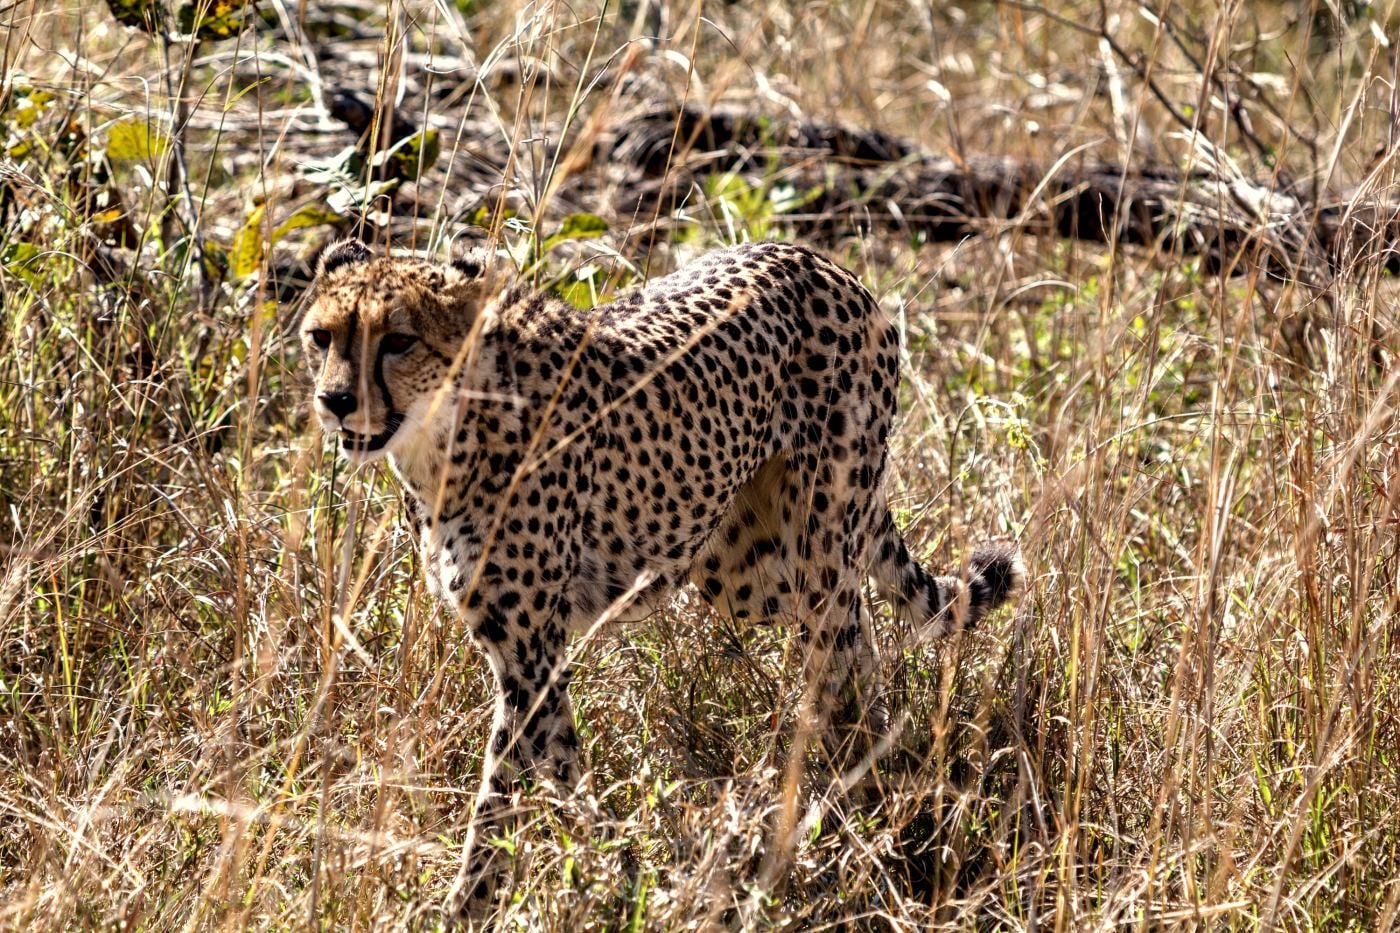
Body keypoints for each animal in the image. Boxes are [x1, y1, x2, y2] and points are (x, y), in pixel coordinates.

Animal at [298, 237, 1024, 920]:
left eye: (399, 340)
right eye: (322, 337)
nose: (335, 401)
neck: (446, 433)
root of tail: (818, 260)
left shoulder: (530, 651)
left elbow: (501, 789)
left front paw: (472, 903)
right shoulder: (524, 651)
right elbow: (561, 765)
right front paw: (605, 863)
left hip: (821, 543)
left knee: (844, 658)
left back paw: (865, 800)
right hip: (750, 570)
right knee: (857, 644)